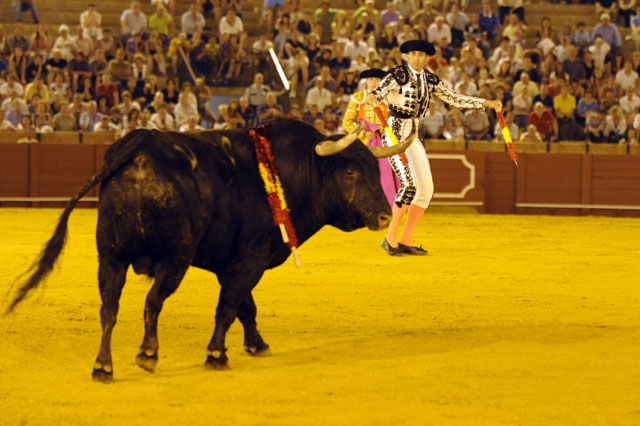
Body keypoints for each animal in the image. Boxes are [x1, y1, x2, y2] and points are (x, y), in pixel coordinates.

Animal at [7, 117, 412, 382]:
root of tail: (138, 148)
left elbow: (246, 306)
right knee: (152, 301)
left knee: (109, 308)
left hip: (111, 256)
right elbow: (229, 306)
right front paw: (217, 354)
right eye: (349, 171)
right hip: (174, 259)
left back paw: (103, 366)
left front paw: (257, 345)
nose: (383, 215)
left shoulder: (233, 261)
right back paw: (147, 354)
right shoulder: (250, 258)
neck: (286, 172)